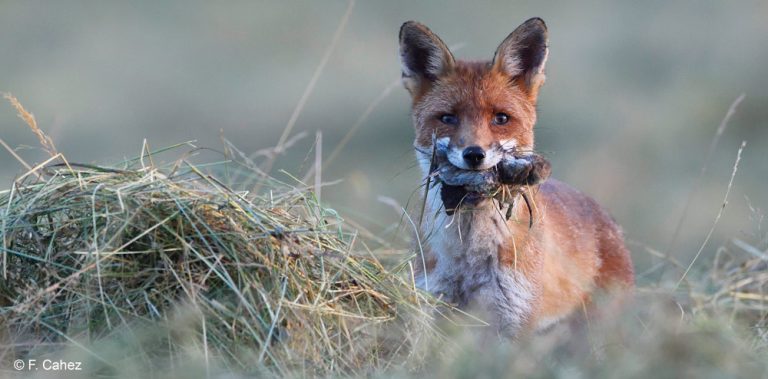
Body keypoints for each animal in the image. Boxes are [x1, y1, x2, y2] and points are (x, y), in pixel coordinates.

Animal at [400, 18, 632, 338]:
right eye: (447, 118)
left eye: (501, 118)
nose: (474, 154)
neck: (469, 257)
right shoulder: (432, 306)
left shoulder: (513, 320)